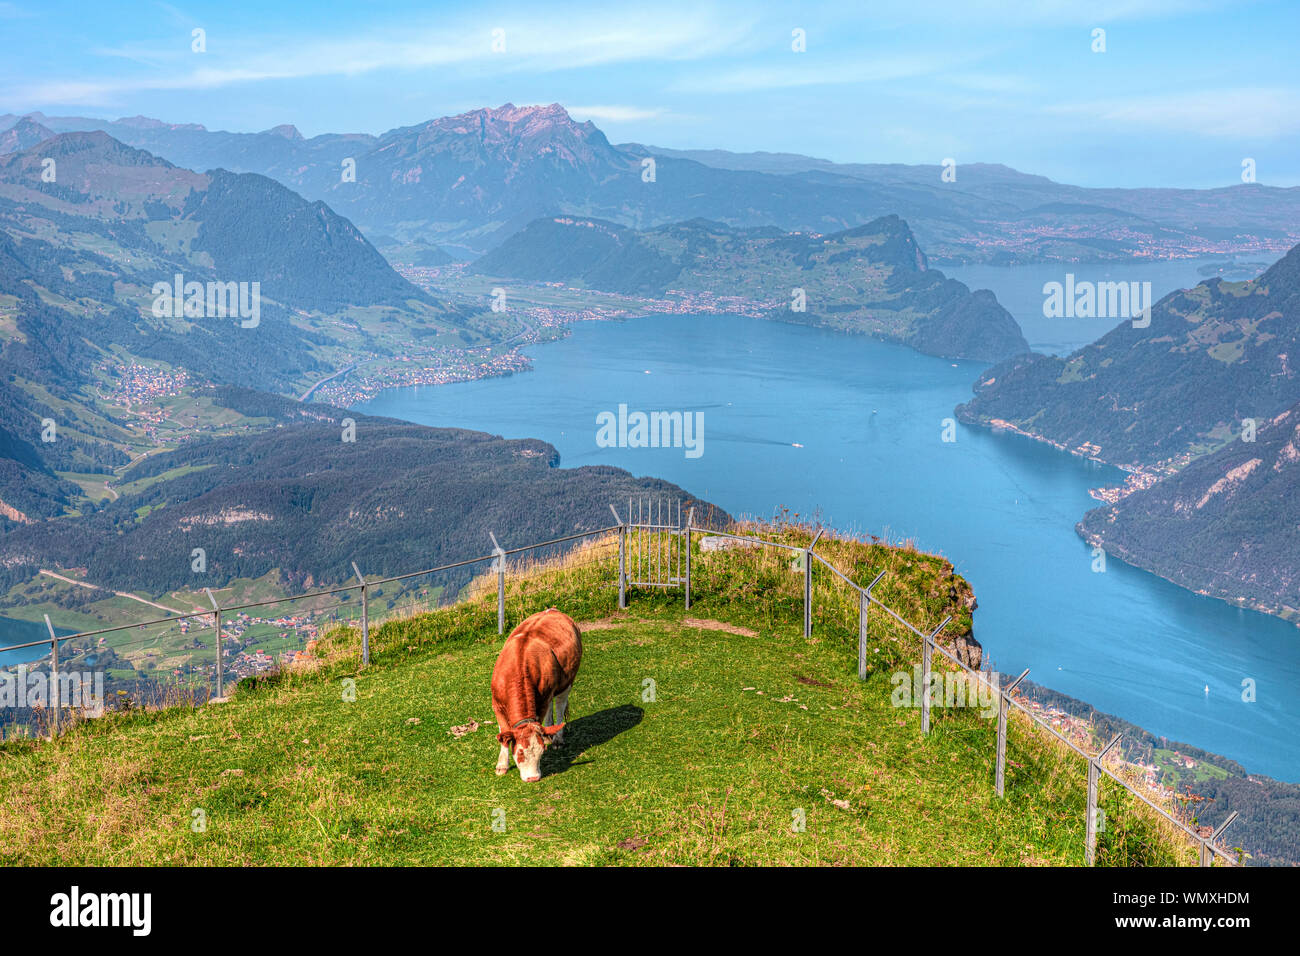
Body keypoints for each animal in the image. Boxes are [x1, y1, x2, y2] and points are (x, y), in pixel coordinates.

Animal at [491, 608, 585, 780]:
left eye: (541, 753)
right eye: (520, 753)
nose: (533, 778)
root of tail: (553, 609)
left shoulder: (542, 700)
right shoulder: (497, 704)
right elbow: (504, 734)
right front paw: (502, 765)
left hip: (566, 683)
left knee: (559, 706)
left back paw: (557, 738)